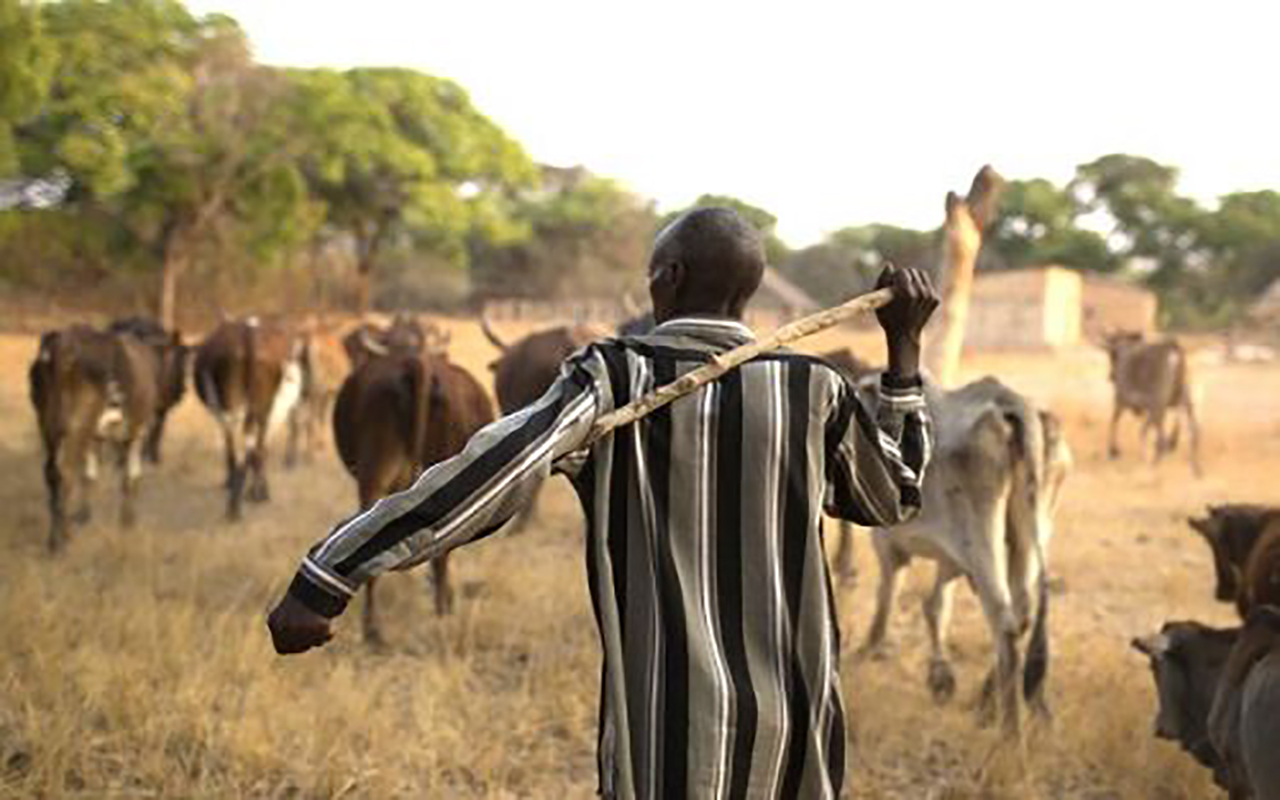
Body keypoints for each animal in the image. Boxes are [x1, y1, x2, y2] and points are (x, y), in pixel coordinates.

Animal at [29, 325, 162, 551]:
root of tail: (62, 346)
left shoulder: (94, 437)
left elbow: (89, 475)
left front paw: (84, 516)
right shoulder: (135, 432)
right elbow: (131, 476)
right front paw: (127, 521)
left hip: (48, 426)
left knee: (52, 473)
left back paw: (55, 538)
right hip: (76, 428)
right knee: (66, 473)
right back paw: (61, 541)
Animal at [193, 317, 304, 521]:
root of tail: (249, 333)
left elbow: (233, 449)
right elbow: (259, 450)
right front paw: (258, 490)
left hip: (237, 406)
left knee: (243, 448)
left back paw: (236, 504)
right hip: (261, 408)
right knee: (254, 447)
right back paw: (250, 498)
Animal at [859, 376, 1072, 737]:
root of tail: (1018, 408)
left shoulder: (888, 543)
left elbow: (888, 596)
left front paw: (867, 651)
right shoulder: (951, 558)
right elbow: (935, 606)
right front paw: (940, 679)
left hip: (982, 541)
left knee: (1004, 622)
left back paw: (1009, 732)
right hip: (1031, 534)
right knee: (1022, 614)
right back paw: (987, 703)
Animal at [1102, 331, 1202, 475]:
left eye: (1112, 354)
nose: (1111, 376)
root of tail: (1172, 349)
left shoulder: (1121, 399)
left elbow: (1114, 421)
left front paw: (1113, 450)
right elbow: (1144, 430)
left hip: (1158, 404)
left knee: (1161, 439)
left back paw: (1154, 466)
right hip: (1184, 398)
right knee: (1194, 432)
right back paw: (1196, 468)